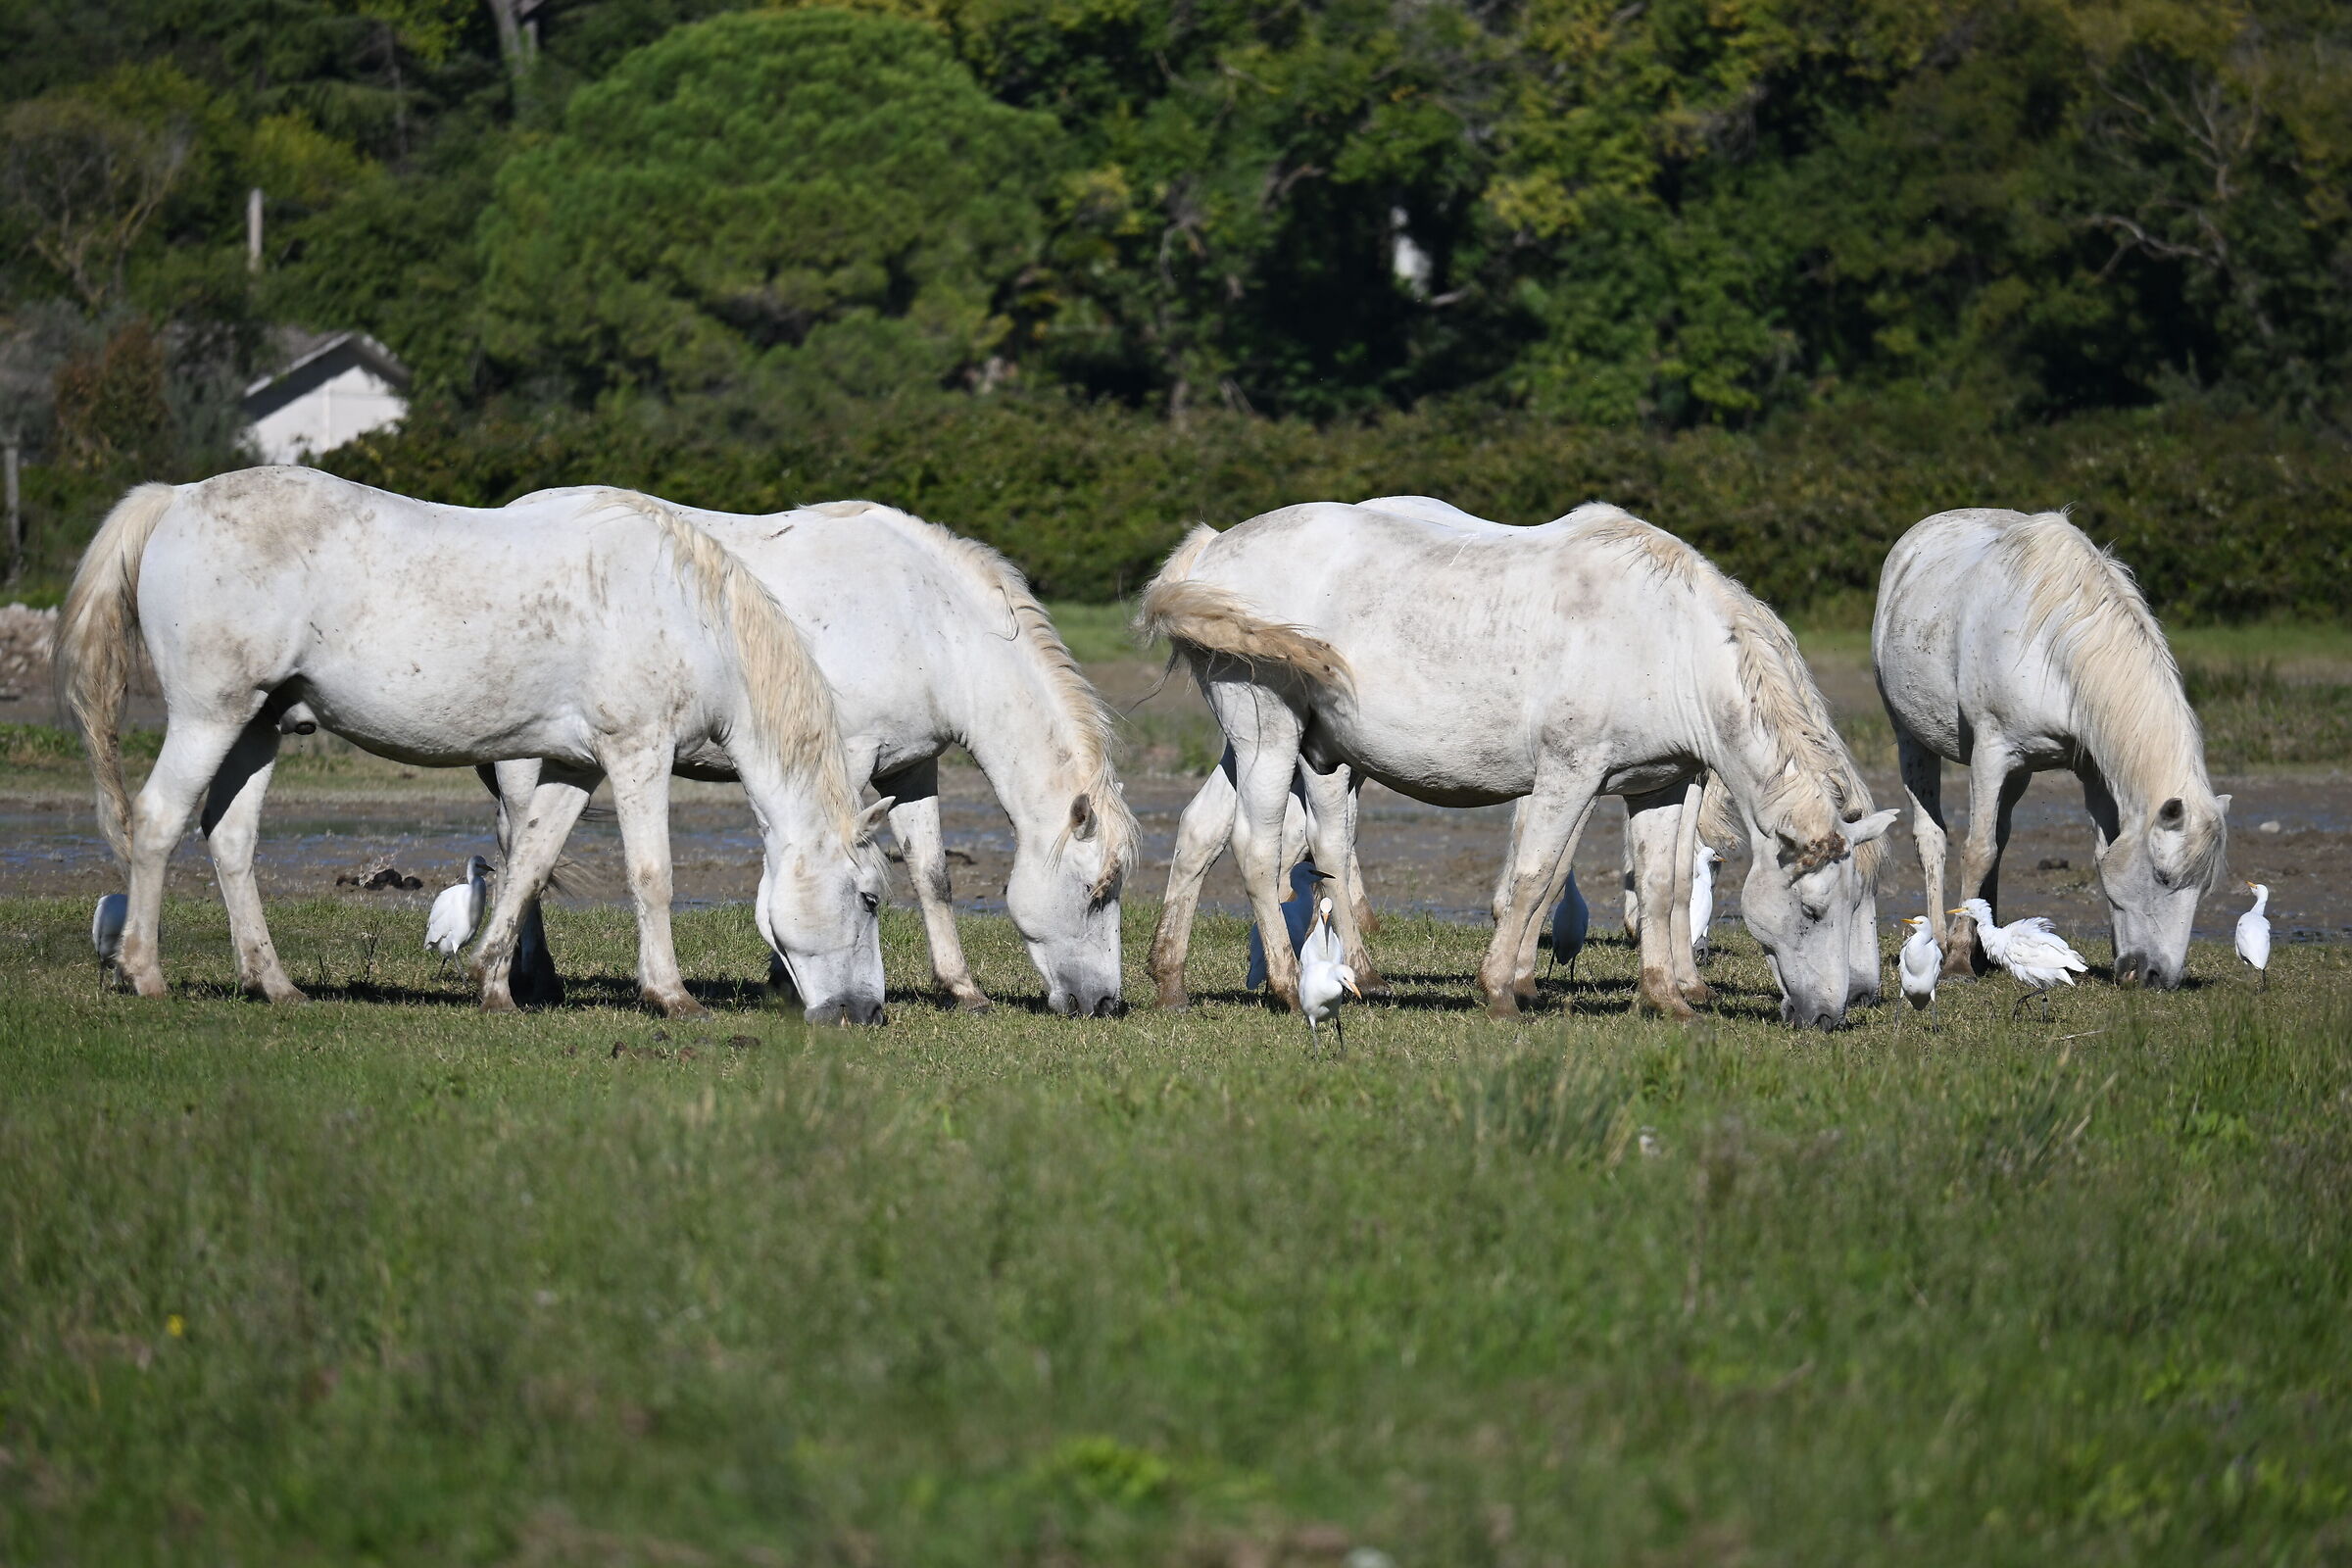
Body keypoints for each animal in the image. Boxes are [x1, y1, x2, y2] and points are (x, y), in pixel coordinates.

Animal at [57, 467, 892, 1022]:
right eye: (872, 898)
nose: (864, 1014)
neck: (691, 613)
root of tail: (175, 498)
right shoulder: (637, 753)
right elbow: (651, 876)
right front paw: (670, 994)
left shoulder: (573, 767)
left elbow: (530, 866)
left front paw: (494, 984)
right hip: (209, 715)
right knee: (157, 821)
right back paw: (144, 973)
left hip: (259, 726)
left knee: (230, 840)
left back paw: (276, 984)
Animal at [492, 495, 1136, 1017]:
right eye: (1096, 893)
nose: (1104, 1004)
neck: (927, 622)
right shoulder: (845, 760)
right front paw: (786, 978)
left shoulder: (912, 767)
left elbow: (932, 875)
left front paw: (961, 989)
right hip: (524, 761)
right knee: (521, 848)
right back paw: (536, 980)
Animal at [1137, 501, 1896, 1026]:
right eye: (1813, 908)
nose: (1833, 1013)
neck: (1666, 642)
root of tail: (1212, 550)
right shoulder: (1569, 776)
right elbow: (1535, 876)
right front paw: (1502, 987)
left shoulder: (1661, 785)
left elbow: (1661, 887)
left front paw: (1667, 999)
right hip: (1267, 730)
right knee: (1257, 848)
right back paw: (1288, 984)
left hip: (1256, 745)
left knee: (1204, 832)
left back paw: (1172, 980)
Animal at [1875, 508, 2227, 989]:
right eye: (2163, 876)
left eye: (2203, 887)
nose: (2159, 976)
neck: (2056, 651)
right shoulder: (1990, 754)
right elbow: (1977, 851)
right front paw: (1961, 959)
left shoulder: (2092, 769)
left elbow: (2098, 853)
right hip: (1912, 741)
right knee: (1933, 839)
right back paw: (1945, 942)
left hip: (2019, 772)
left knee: (2001, 837)